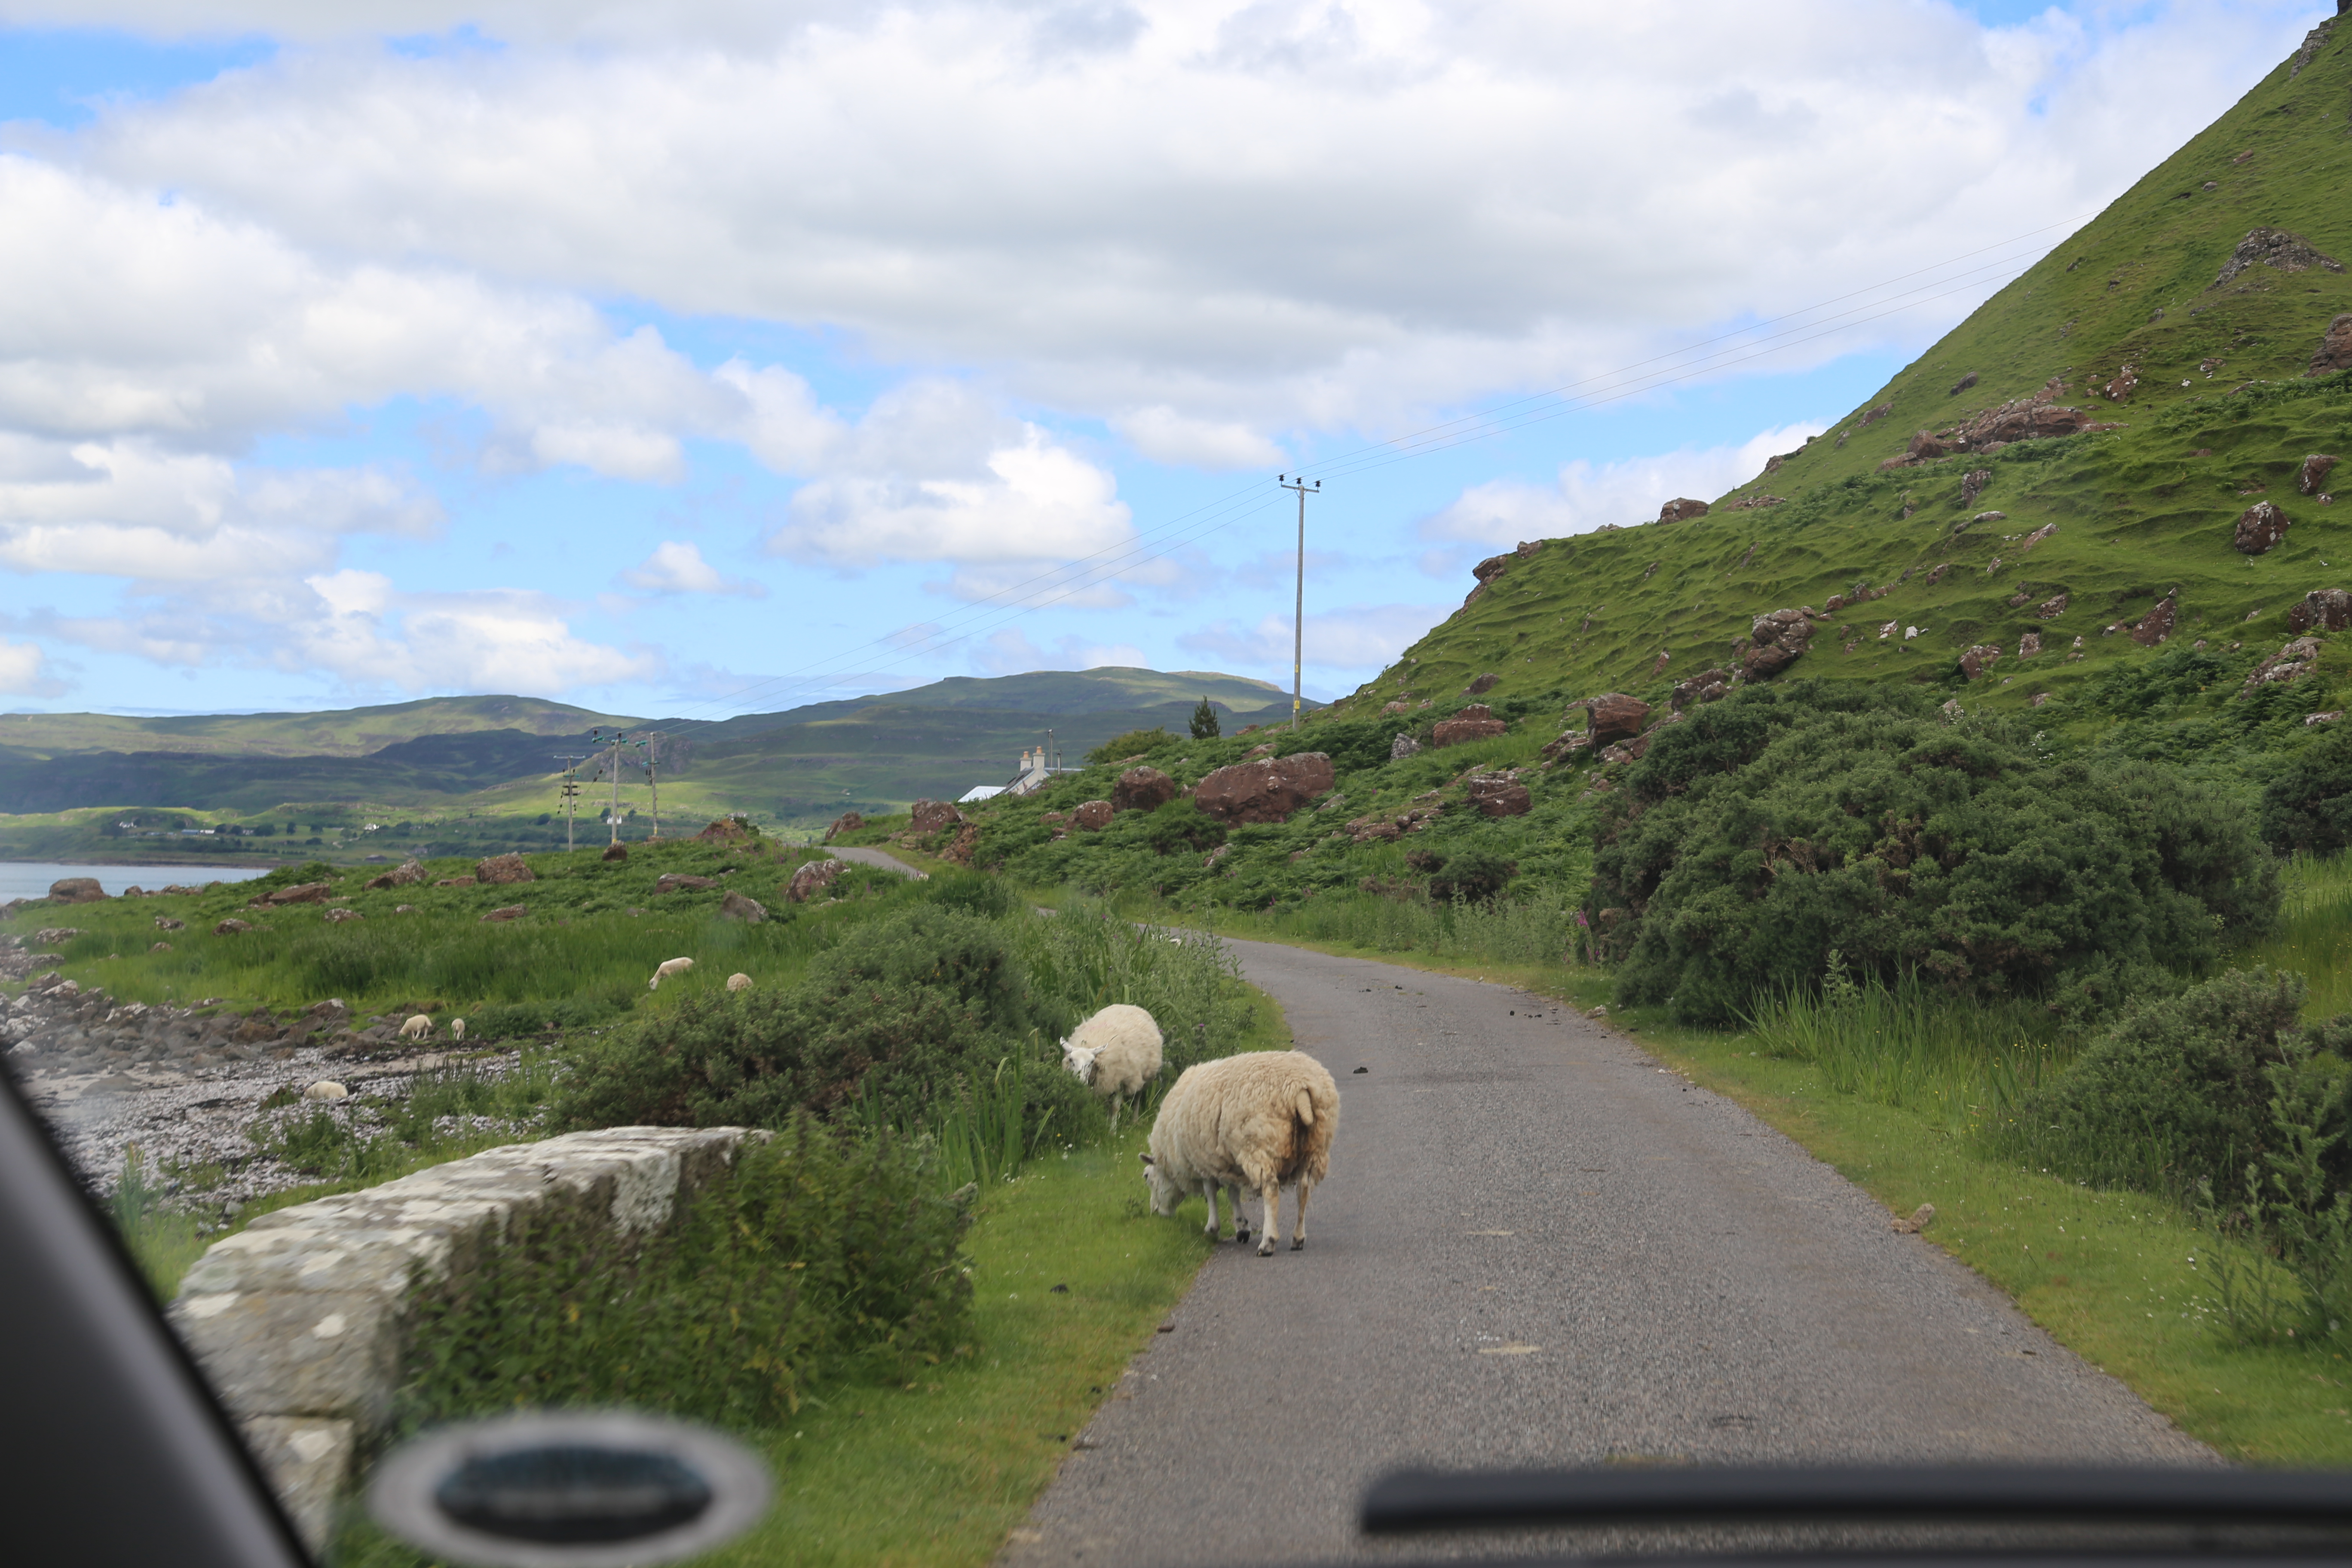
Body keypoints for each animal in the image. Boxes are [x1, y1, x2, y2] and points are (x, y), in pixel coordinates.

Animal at [1068, 1001, 1167, 1133]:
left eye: (1091, 1062)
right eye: (1071, 1060)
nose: (1080, 1080)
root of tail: (1129, 1005)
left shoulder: (1121, 1081)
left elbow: (1115, 1108)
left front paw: (1112, 1132)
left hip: (1144, 1076)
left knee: (1138, 1097)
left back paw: (1135, 1120)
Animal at [1143, 1053, 1345, 1260]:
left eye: (1147, 1178)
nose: (1156, 1213)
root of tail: (1299, 1088)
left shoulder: (1205, 1160)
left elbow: (1211, 1192)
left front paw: (1213, 1228)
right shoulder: (1229, 1160)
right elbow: (1233, 1193)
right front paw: (1242, 1227)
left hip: (1260, 1142)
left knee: (1271, 1191)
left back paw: (1268, 1243)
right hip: (1316, 1144)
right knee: (1303, 1189)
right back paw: (1298, 1239)